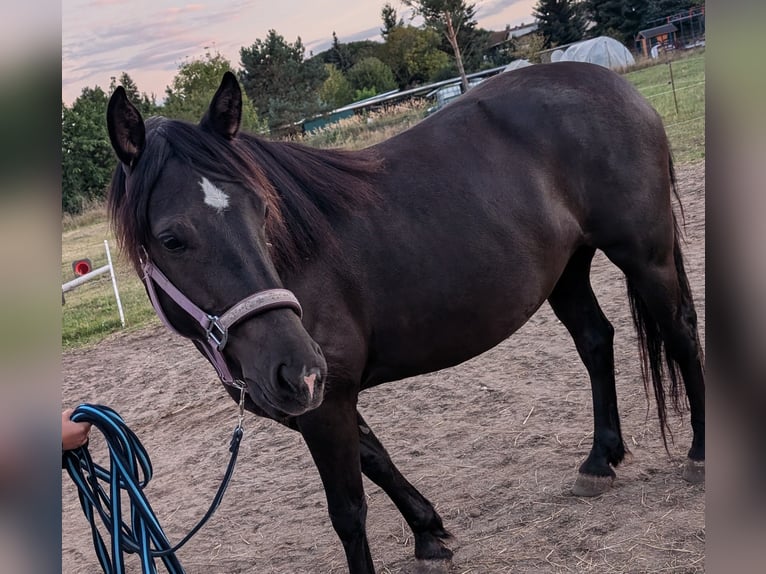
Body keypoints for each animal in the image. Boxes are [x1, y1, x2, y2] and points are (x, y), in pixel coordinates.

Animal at [106, 63, 705, 574]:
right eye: (171, 239)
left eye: (263, 209)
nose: (295, 367)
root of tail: (611, 82)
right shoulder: (322, 398)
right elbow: (378, 458)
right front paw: (429, 534)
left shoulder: (326, 401)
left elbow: (349, 511)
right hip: (568, 270)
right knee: (595, 342)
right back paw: (600, 461)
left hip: (644, 255)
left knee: (680, 333)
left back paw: (698, 456)